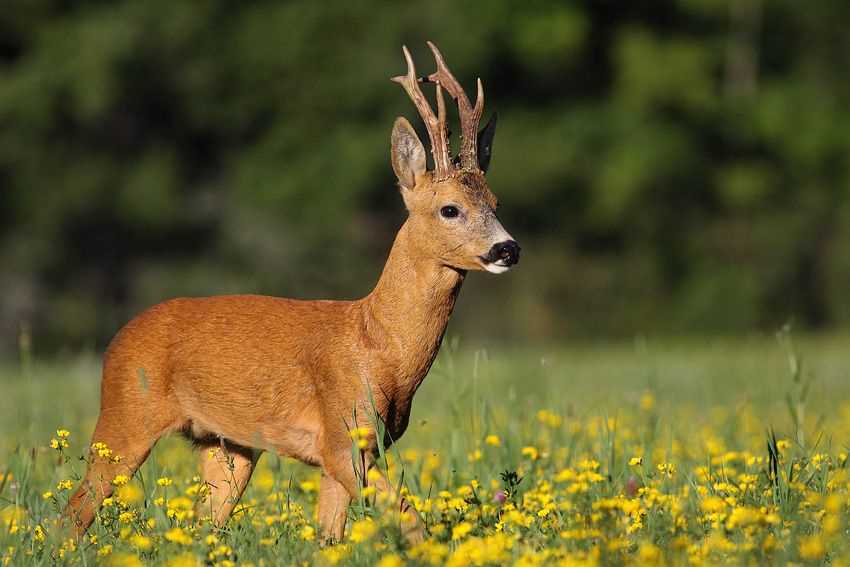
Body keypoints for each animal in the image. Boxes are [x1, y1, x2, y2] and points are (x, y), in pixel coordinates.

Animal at [64, 42, 516, 544]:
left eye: (495, 203)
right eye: (450, 209)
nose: (507, 248)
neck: (379, 343)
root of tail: (116, 340)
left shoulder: (353, 449)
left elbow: (330, 538)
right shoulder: (342, 435)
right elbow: (410, 519)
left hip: (227, 444)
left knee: (204, 525)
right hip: (126, 414)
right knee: (74, 509)